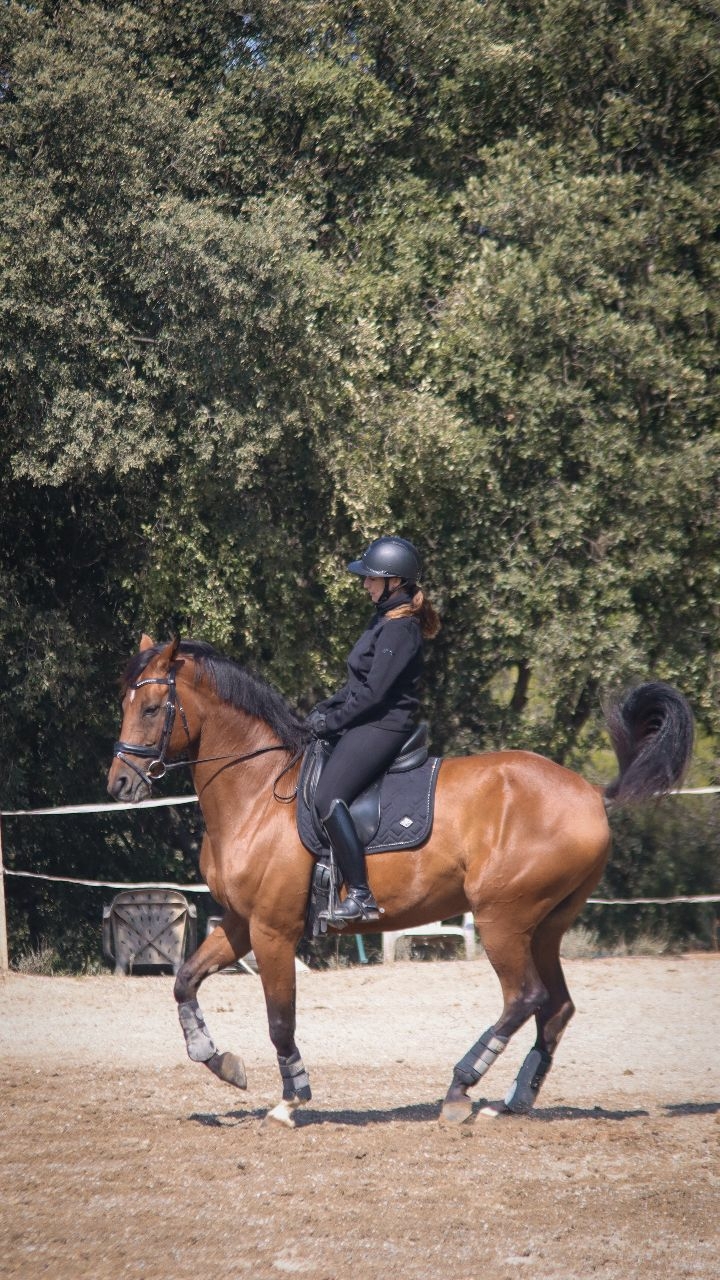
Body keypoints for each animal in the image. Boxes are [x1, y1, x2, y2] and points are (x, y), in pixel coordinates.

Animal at [106, 635, 694, 1127]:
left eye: (152, 709)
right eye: (125, 706)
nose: (119, 784)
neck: (255, 792)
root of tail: (591, 793)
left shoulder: (273, 930)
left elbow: (280, 1019)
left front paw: (290, 1100)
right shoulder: (239, 923)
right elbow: (185, 981)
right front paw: (218, 1059)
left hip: (503, 919)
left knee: (524, 997)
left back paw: (461, 1089)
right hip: (545, 926)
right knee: (556, 1007)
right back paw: (513, 1101)